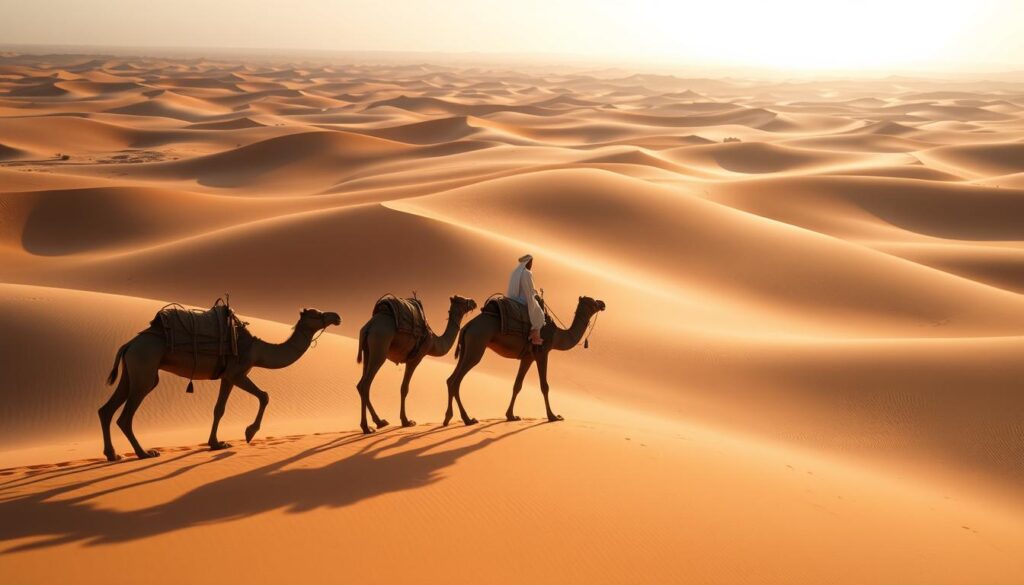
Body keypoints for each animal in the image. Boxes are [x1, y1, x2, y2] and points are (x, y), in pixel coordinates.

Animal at [99, 307, 341, 461]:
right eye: (316, 314)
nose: (336, 316)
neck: (258, 350)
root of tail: (129, 344)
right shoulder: (238, 372)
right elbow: (264, 395)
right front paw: (249, 433)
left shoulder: (227, 377)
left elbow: (219, 409)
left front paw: (216, 443)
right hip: (145, 369)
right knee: (125, 416)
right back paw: (144, 453)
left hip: (131, 372)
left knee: (106, 410)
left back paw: (113, 454)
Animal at [355, 295, 477, 434]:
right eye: (463, 300)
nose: (473, 302)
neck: (433, 342)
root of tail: (369, 327)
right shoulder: (416, 358)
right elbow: (404, 388)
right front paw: (406, 421)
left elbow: (403, 388)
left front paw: (405, 421)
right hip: (380, 346)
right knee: (365, 384)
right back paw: (370, 426)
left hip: (367, 351)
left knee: (362, 383)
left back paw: (375, 423)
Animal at [444, 295, 605, 426]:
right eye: (592, 302)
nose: (602, 303)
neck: (557, 336)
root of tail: (467, 326)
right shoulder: (542, 353)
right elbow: (544, 386)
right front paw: (553, 416)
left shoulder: (528, 357)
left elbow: (517, 385)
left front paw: (511, 416)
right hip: (477, 345)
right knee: (456, 381)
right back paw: (467, 419)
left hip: (466, 348)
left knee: (450, 379)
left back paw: (448, 418)